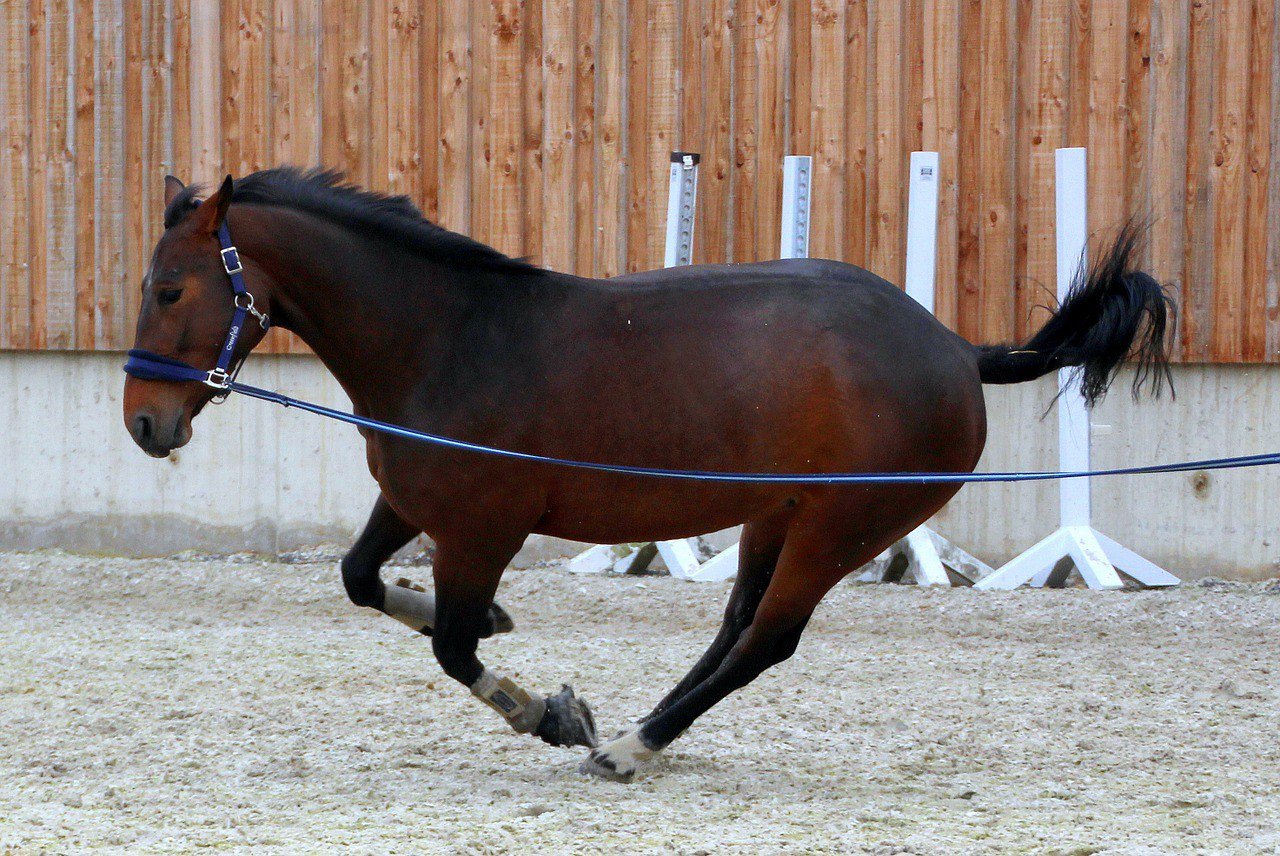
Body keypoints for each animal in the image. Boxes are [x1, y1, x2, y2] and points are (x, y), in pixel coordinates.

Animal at [123, 167, 1172, 781]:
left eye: (171, 289)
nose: (143, 423)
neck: (454, 338)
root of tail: (954, 351)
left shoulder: (483, 529)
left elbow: (455, 649)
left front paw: (547, 713)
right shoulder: (415, 504)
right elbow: (361, 580)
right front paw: (518, 651)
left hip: (840, 530)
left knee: (766, 641)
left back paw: (630, 745)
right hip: (776, 518)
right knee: (735, 626)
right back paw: (645, 728)